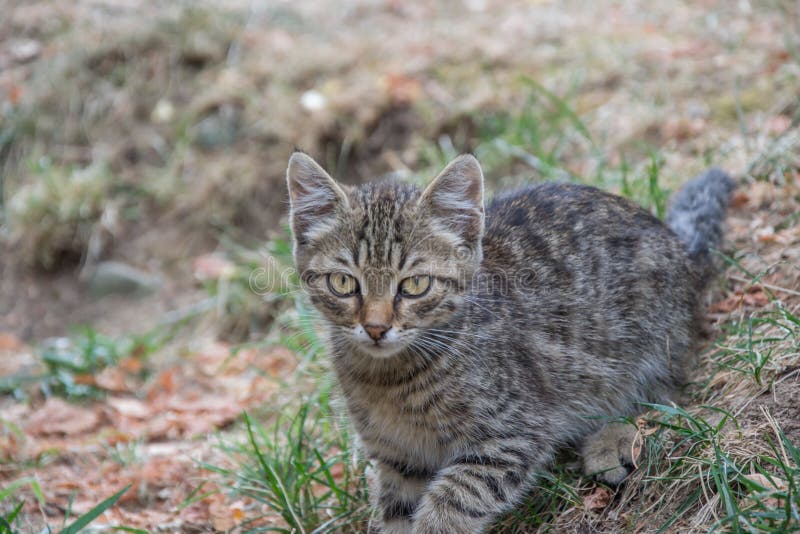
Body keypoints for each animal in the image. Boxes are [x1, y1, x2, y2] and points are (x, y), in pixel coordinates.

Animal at [284, 153, 736, 532]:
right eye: (343, 283)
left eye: (414, 285)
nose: (376, 328)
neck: (389, 380)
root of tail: (681, 248)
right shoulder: (399, 461)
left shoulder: (512, 434)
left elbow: (453, 504)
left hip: (643, 346)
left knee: (662, 396)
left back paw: (611, 440)